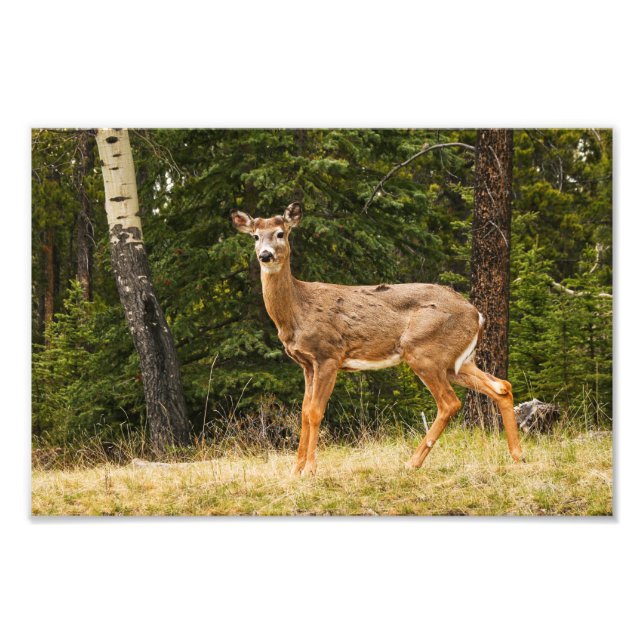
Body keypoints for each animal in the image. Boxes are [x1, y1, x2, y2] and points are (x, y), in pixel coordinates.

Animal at [232, 202, 523, 476]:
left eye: (280, 233)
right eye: (255, 236)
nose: (265, 255)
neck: (297, 311)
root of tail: (478, 314)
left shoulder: (329, 355)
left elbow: (315, 412)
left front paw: (310, 470)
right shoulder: (306, 363)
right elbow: (303, 412)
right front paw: (295, 470)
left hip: (424, 351)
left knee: (450, 402)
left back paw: (412, 462)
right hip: (457, 361)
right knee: (501, 386)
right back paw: (517, 456)